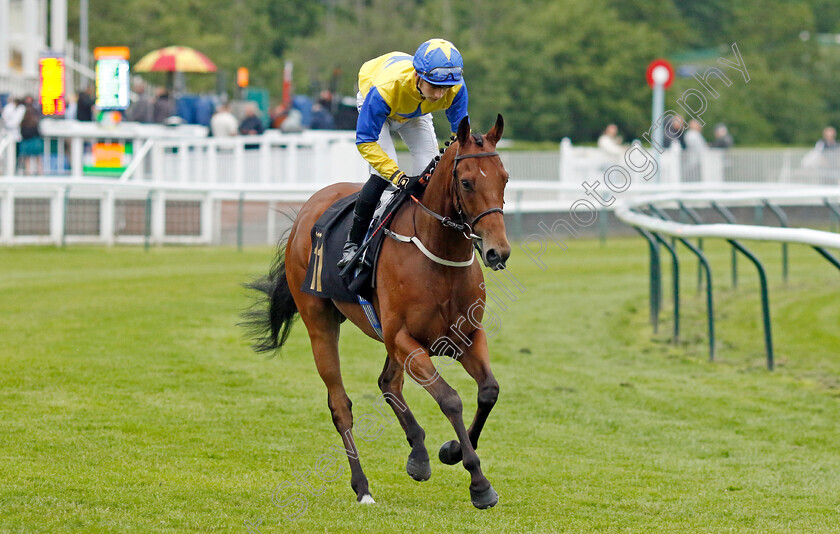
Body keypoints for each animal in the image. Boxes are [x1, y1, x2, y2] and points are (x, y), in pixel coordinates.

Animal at [243, 114, 512, 510]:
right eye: (466, 182)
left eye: (504, 177)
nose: (498, 252)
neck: (438, 254)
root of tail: (308, 209)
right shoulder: (405, 339)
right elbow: (450, 399)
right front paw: (479, 482)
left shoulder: (463, 336)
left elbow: (489, 390)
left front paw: (450, 451)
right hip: (321, 324)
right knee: (340, 404)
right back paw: (363, 486)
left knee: (388, 383)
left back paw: (418, 455)